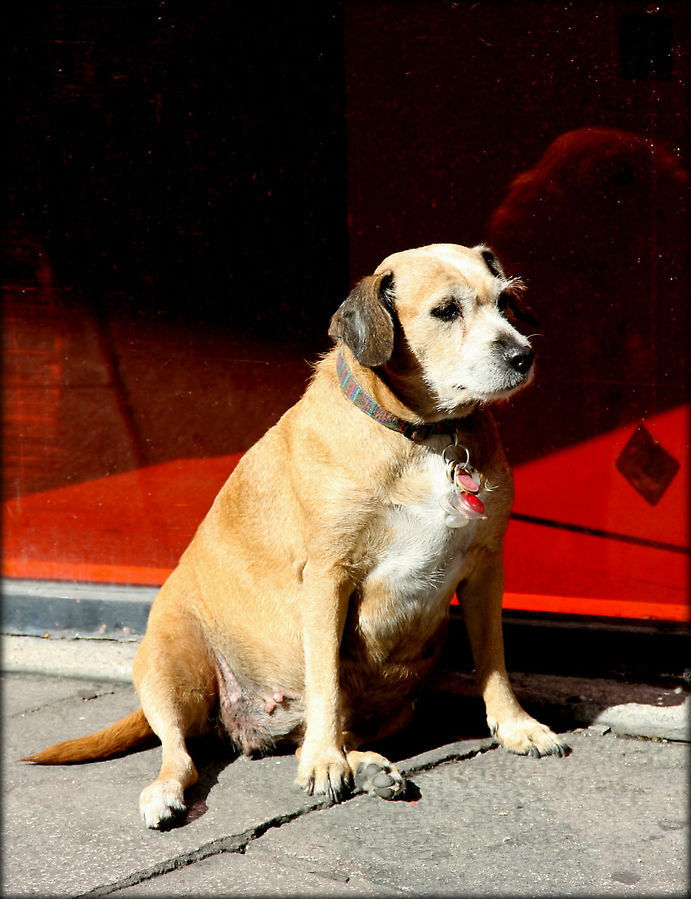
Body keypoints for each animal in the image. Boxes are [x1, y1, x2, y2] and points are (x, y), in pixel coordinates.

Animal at [27, 241, 568, 828]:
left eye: (506, 303)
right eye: (445, 311)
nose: (522, 356)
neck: (422, 435)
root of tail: (248, 725)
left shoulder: (486, 566)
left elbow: (493, 660)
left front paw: (516, 726)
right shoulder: (328, 579)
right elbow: (325, 679)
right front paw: (324, 764)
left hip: (394, 705)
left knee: (318, 733)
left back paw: (367, 766)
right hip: (173, 669)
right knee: (182, 753)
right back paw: (173, 790)